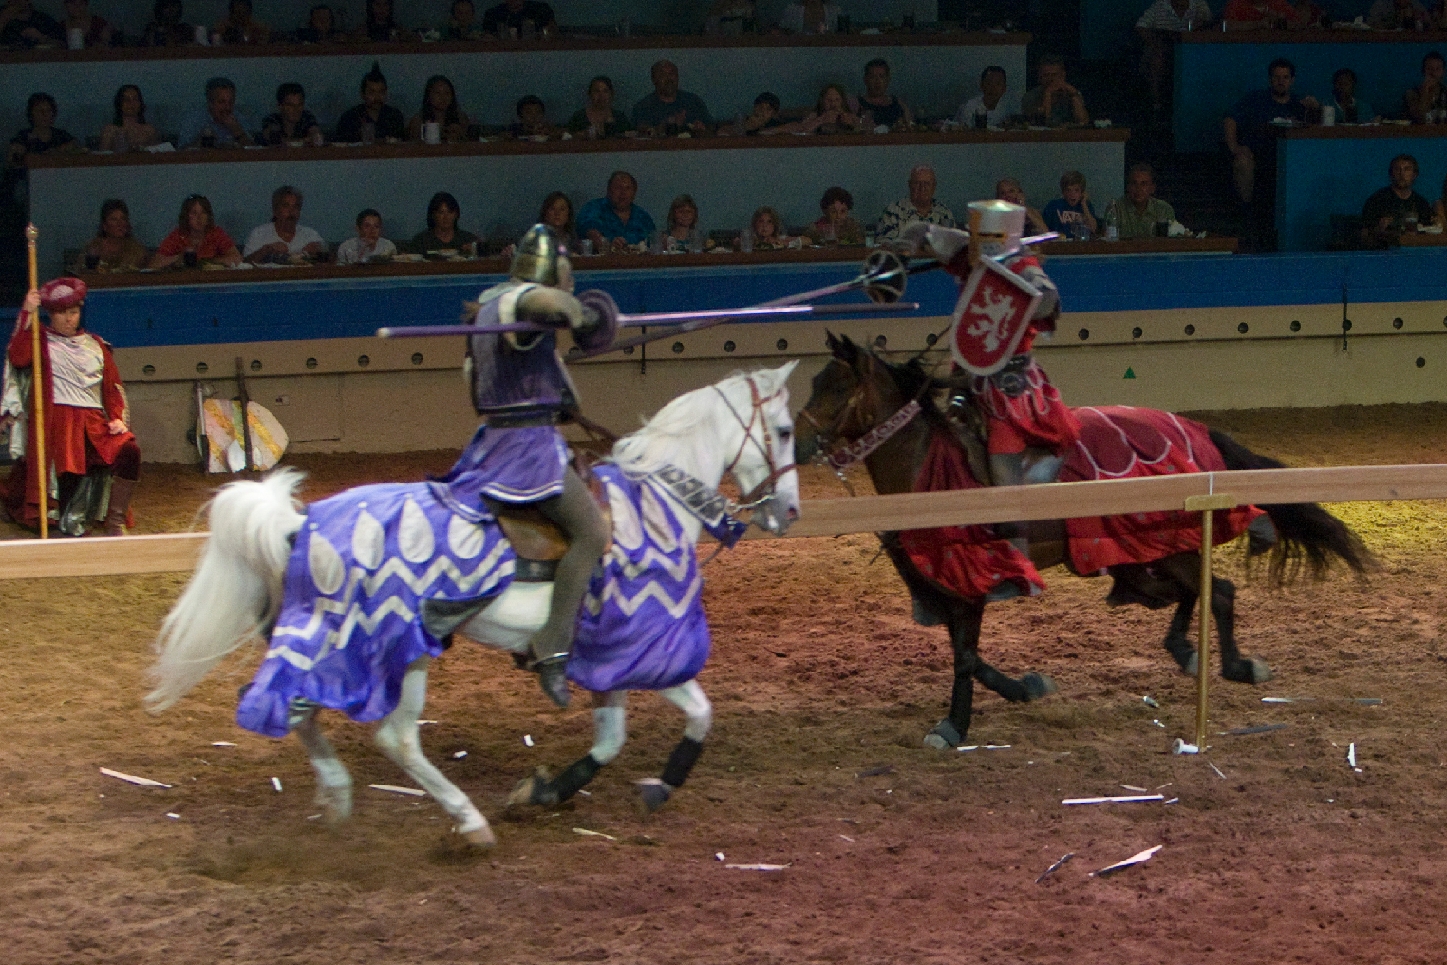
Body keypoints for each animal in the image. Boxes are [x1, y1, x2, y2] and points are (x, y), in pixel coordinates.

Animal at [146, 361, 804, 844]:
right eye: (785, 430)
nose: (789, 512)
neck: (654, 508)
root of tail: (299, 523)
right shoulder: (636, 650)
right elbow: (698, 715)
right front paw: (658, 787)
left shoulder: (605, 660)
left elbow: (614, 739)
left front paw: (544, 793)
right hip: (388, 646)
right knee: (386, 735)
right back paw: (467, 821)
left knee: (304, 710)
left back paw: (338, 795)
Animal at [798, 335, 1371, 752]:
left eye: (835, 388)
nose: (798, 443)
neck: (928, 471)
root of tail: (1194, 428)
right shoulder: (944, 585)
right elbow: (969, 655)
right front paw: (1024, 688)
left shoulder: (972, 580)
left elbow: (964, 656)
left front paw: (954, 726)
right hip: (1142, 556)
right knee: (1193, 591)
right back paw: (1186, 651)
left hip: (1166, 543)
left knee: (1220, 592)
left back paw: (1236, 665)